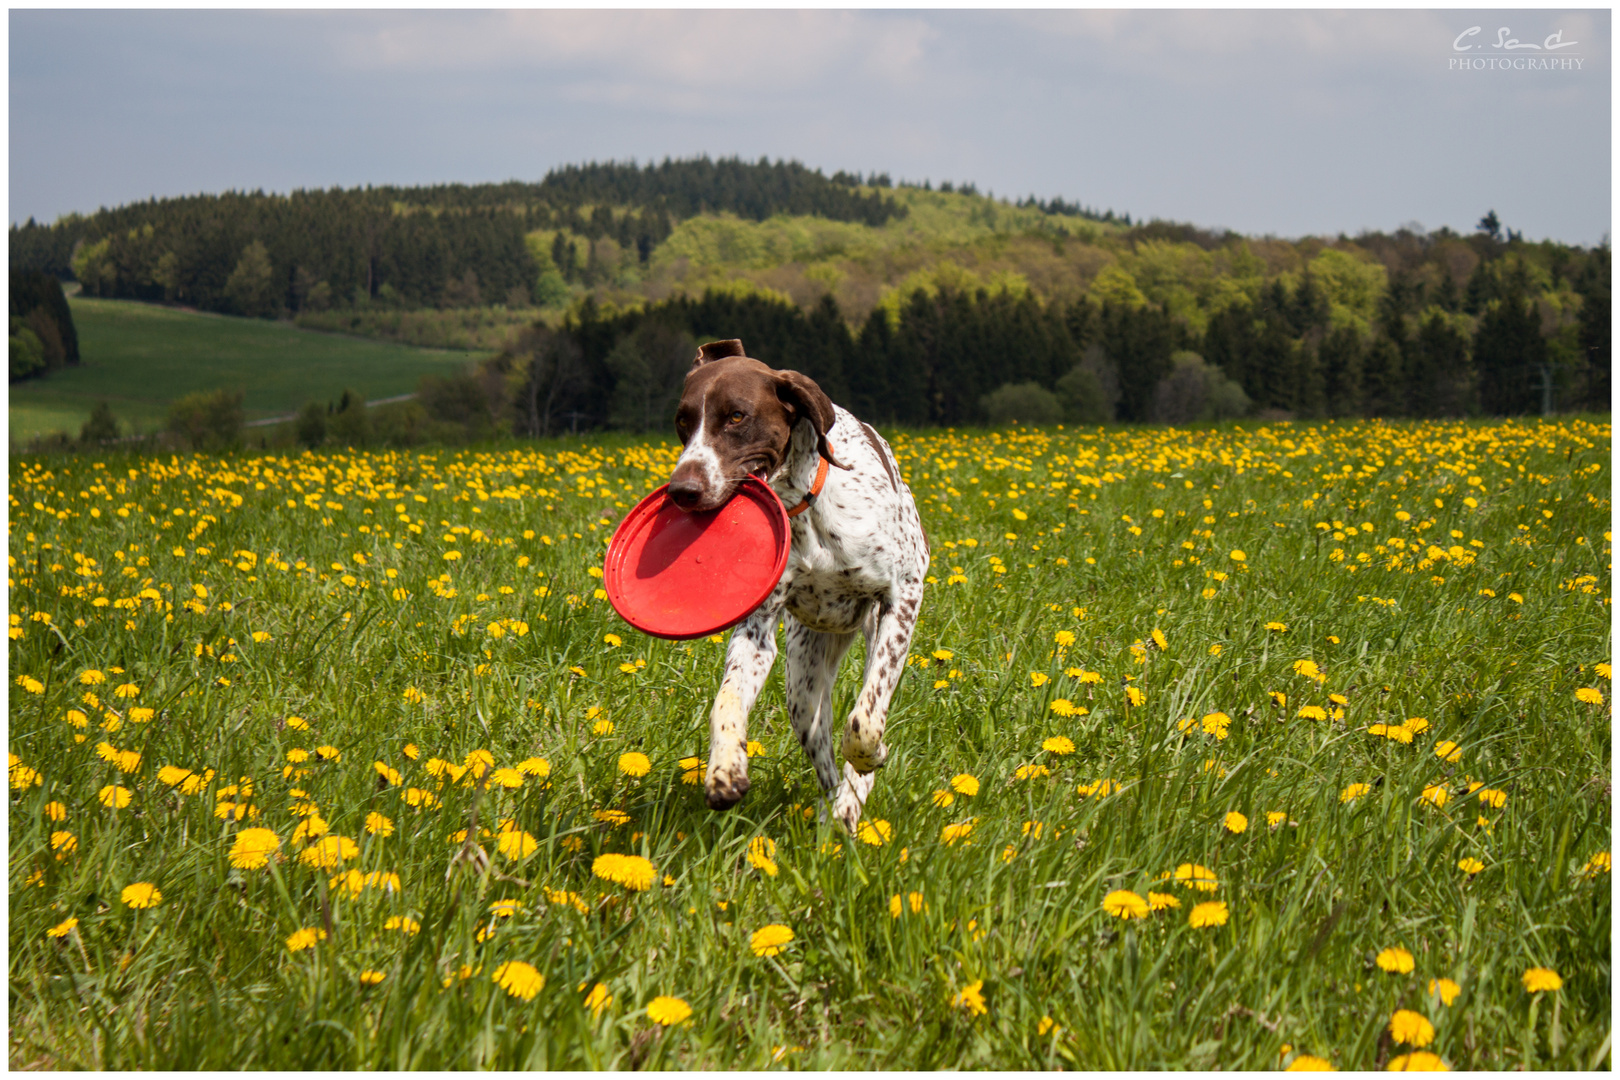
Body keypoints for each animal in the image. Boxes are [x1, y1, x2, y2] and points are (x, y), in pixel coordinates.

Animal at [667, 341, 926, 835]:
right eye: (682, 422)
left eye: (736, 416)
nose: (682, 490)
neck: (802, 504)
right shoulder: (757, 632)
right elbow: (725, 702)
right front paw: (724, 768)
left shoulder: (903, 596)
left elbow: (865, 721)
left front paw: (872, 756)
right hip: (803, 685)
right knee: (823, 757)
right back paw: (833, 812)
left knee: (864, 715)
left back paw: (851, 801)